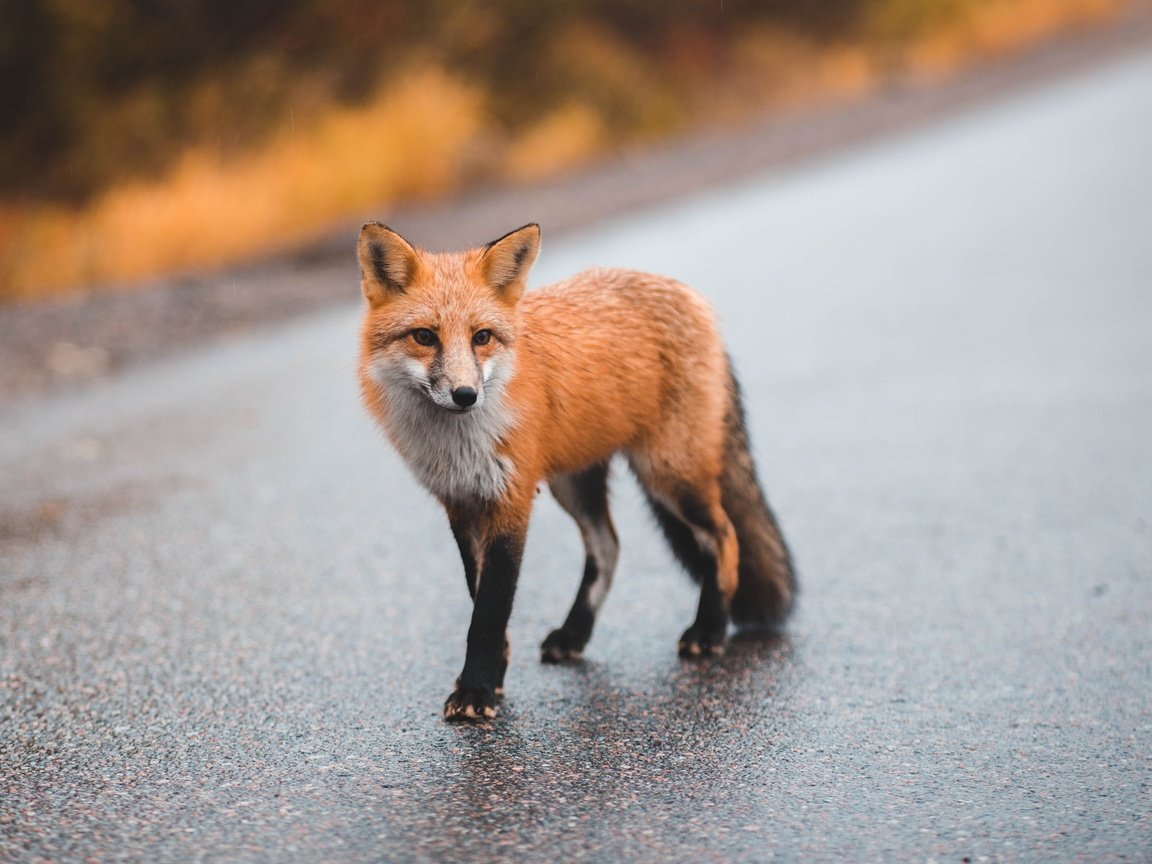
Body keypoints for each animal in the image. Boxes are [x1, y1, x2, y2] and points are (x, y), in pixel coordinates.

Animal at [357, 223, 792, 723]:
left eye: (481, 336)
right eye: (425, 337)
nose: (466, 395)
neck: (458, 443)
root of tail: (689, 295)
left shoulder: (512, 499)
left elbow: (489, 611)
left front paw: (476, 690)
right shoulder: (461, 503)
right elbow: (479, 598)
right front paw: (493, 677)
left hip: (668, 475)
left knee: (724, 536)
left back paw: (709, 630)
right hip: (575, 484)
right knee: (608, 546)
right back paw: (575, 634)